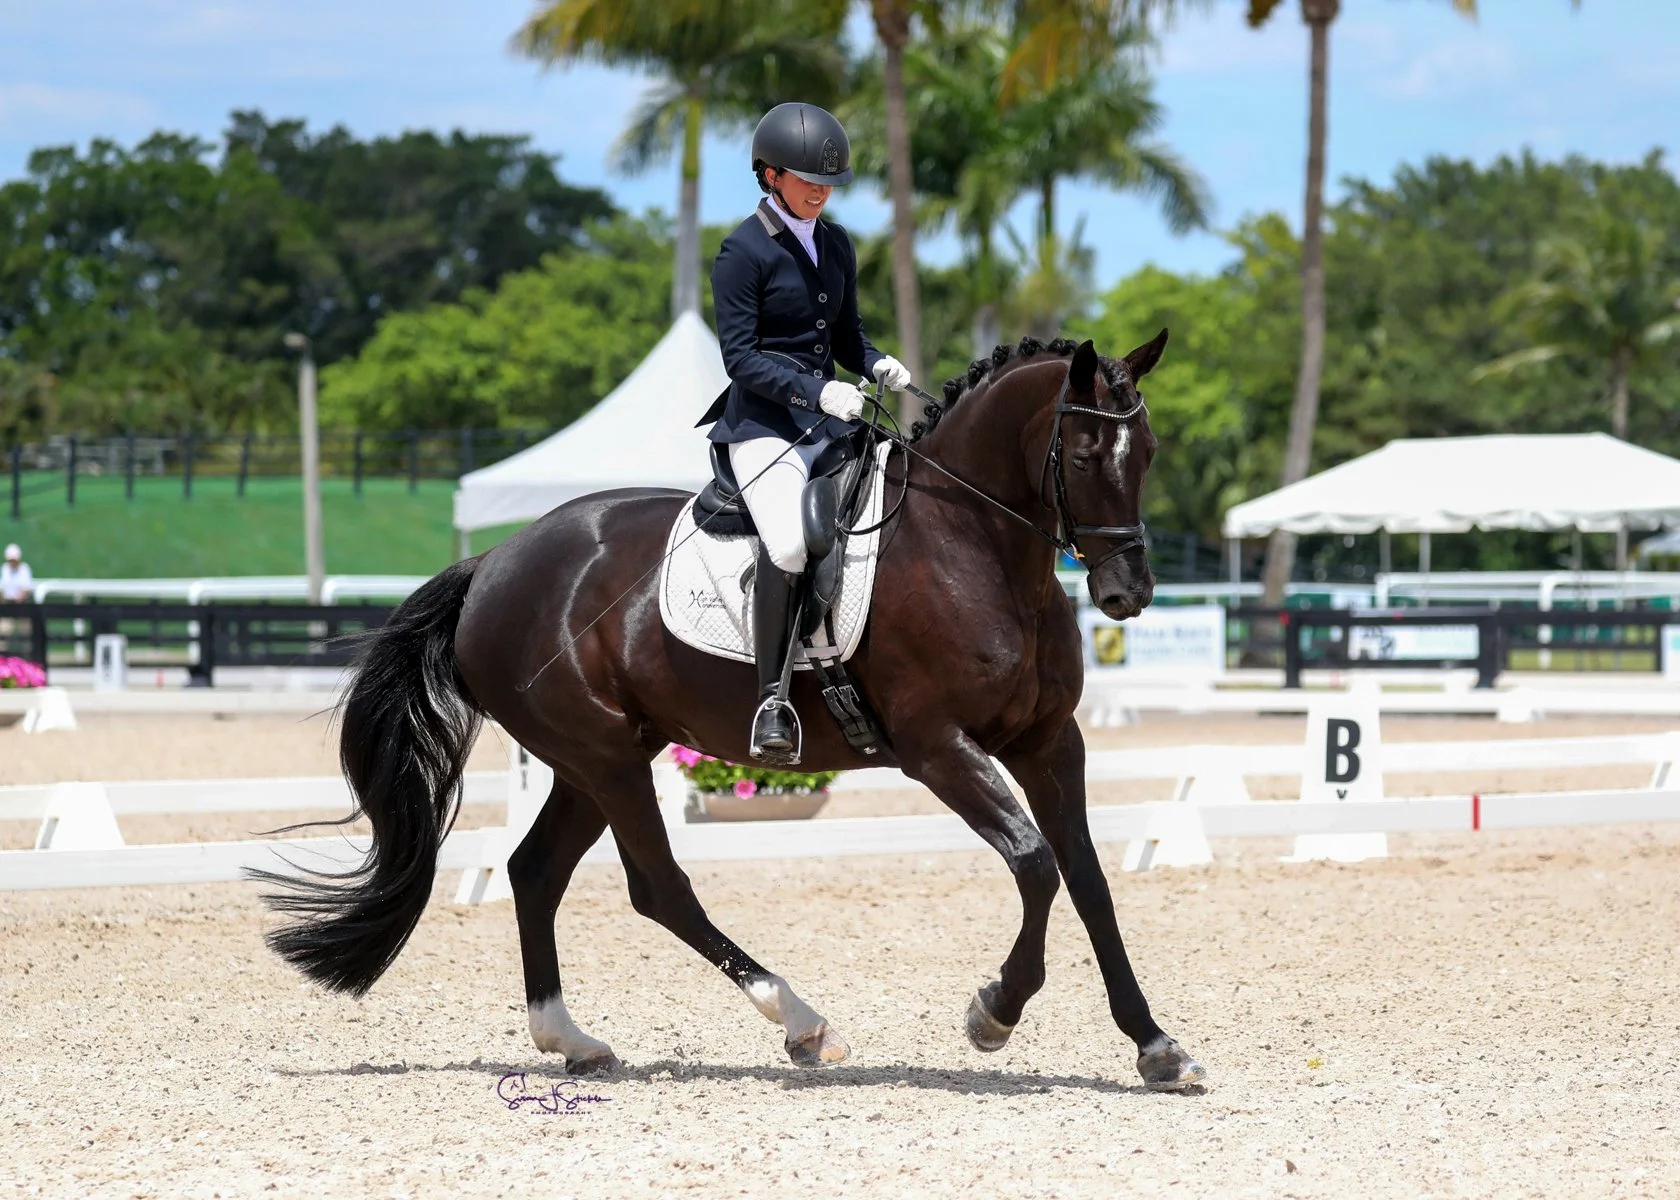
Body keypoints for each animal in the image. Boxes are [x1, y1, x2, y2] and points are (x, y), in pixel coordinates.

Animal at [258, 331, 1207, 1092]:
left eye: (1149, 452)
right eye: (1084, 456)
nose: (1127, 593)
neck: (973, 545)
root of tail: (493, 562)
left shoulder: (1049, 741)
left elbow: (1086, 877)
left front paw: (1157, 1047)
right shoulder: (938, 746)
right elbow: (1036, 864)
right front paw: (993, 1013)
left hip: (596, 759)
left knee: (536, 872)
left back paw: (571, 1039)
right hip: (605, 757)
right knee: (658, 887)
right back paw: (802, 1024)